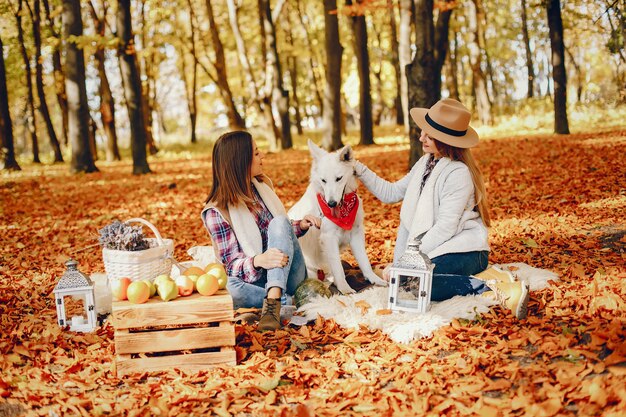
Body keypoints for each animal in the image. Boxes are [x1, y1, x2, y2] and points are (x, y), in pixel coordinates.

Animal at [286, 140, 386, 292]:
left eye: (338, 179)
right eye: (323, 180)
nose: (331, 203)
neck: (344, 211)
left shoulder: (356, 234)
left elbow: (364, 262)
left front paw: (374, 280)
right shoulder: (329, 238)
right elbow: (338, 268)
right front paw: (345, 289)